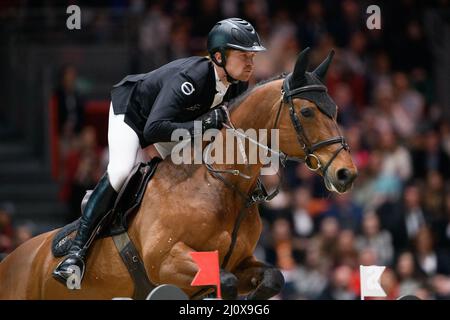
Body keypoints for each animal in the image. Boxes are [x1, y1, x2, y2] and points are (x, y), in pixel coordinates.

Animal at [0, 48, 358, 300]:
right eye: (307, 111)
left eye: (336, 110)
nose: (346, 174)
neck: (220, 186)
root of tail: (11, 260)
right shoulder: (166, 262)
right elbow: (223, 281)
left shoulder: (241, 261)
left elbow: (273, 277)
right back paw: (71, 263)